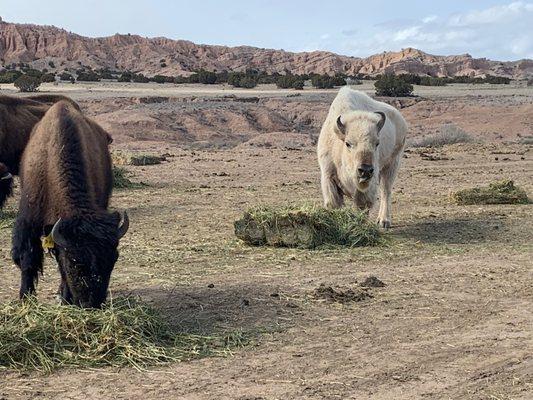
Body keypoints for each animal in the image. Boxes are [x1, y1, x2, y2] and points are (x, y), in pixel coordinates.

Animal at [11, 101, 128, 308]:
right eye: (75, 263)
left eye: (114, 259)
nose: (92, 304)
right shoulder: (29, 220)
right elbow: (28, 258)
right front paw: (25, 298)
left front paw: (65, 298)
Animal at [316, 87, 408, 228]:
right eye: (348, 143)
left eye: (377, 143)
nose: (365, 170)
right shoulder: (328, 175)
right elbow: (334, 204)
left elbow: (362, 204)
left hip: (392, 164)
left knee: (385, 191)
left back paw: (384, 221)